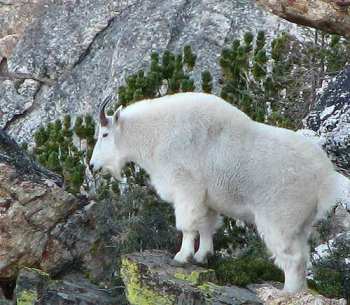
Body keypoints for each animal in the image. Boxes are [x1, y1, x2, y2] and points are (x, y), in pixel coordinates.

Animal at [89, 92, 346, 292]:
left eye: (104, 134)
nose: (92, 166)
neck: (157, 135)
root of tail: (325, 179)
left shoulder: (186, 188)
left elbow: (187, 225)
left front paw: (181, 257)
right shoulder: (207, 198)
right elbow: (206, 226)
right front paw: (202, 256)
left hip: (280, 219)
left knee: (292, 258)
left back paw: (287, 292)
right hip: (300, 224)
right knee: (303, 256)